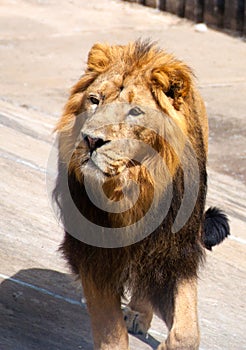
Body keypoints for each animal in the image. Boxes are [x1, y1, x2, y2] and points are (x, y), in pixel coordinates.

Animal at [53, 39, 229, 348]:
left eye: (134, 112)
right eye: (95, 100)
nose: (91, 140)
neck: (135, 187)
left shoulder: (177, 252)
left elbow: (186, 332)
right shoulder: (96, 253)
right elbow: (110, 332)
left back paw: (138, 314)